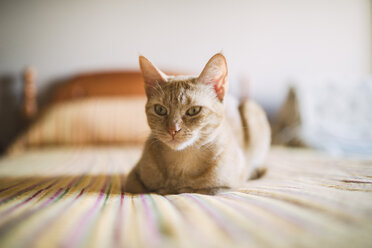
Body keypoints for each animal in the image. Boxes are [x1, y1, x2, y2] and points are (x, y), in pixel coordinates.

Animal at [125, 53, 270, 195]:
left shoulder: (226, 187)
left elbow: (201, 189)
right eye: (160, 110)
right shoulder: (131, 180)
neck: (181, 161)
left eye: (193, 110)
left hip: (250, 108)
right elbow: (141, 188)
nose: (173, 130)